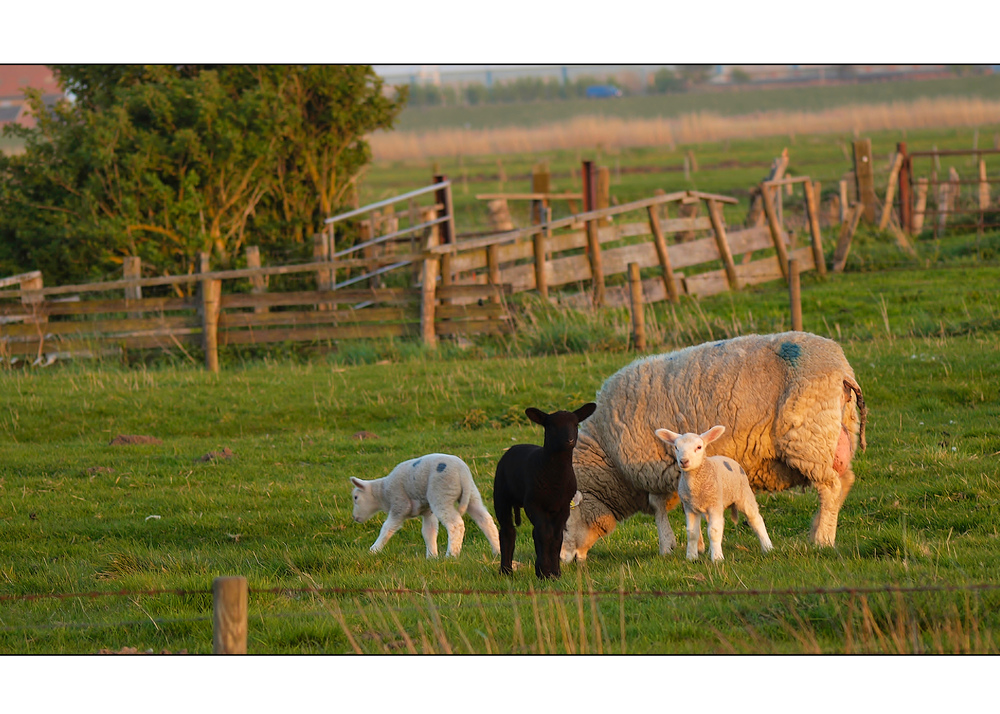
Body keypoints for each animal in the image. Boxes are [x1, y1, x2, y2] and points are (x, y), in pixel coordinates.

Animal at [350, 454, 500, 560]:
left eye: (356, 497)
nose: (354, 518)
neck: (382, 492)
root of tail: (462, 472)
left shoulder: (400, 505)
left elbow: (387, 528)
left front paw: (373, 550)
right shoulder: (427, 511)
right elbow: (429, 531)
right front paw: (432, 557)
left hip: (441, 494)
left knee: (455, 524)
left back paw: (451, 555)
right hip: (472, 494)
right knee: (485, 520)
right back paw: (497, 550)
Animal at [656, 422, 772, 560]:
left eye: (699, 447)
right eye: (676, 447)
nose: (683, 461)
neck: (696, 486)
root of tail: (727, 458)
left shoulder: (714, 505)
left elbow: (714, 531)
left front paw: (717, 558)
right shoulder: (690, 507)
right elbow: (692, 533)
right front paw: (691, 557)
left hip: (744, 495)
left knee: (755, 519)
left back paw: (768, 547)